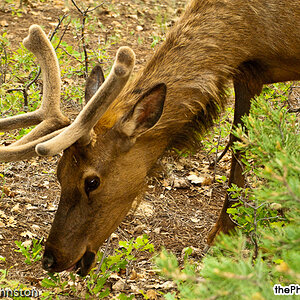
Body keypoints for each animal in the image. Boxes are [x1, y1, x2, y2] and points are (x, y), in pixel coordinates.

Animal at [0, 0, 300, 276]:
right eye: (59, 173)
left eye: (92, 182)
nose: (50, 259)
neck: (255, 36)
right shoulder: (248, 74)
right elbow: (240, 148)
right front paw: (224, 235)